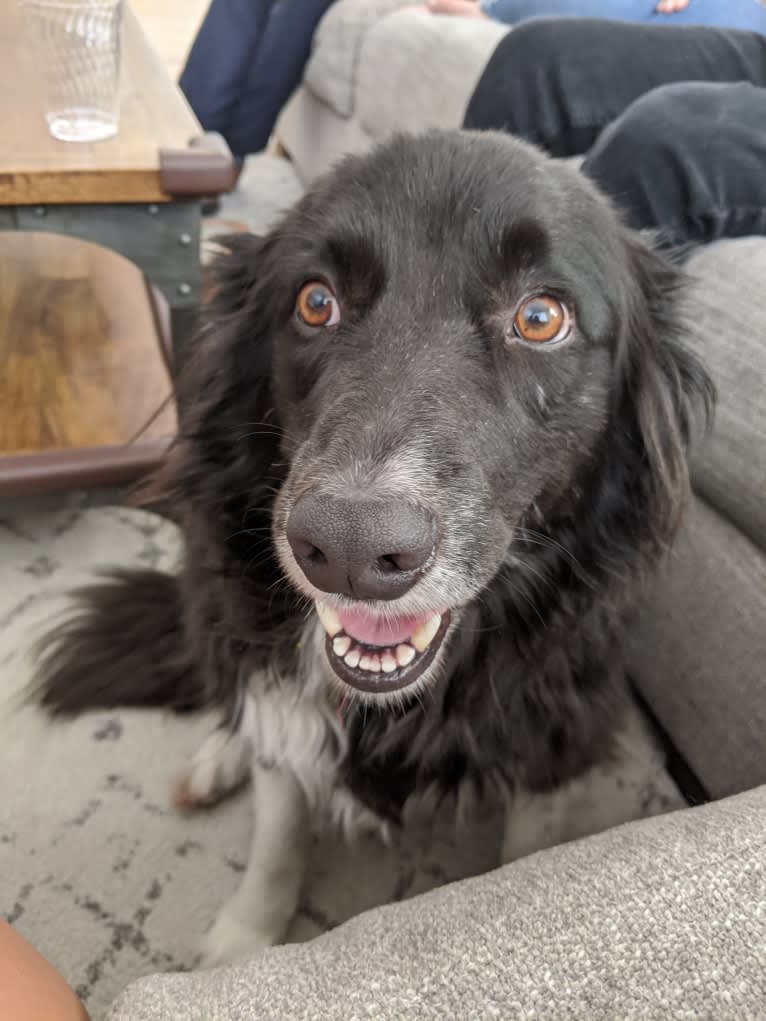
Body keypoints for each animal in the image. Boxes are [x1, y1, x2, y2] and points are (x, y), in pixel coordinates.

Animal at [39, 131, 714, 959]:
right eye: (315, 301)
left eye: (541, 315)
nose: (351, 550)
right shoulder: (285, 706)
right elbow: (278, 825)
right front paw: (245, 940)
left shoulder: (546, 732)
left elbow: (525, 853)